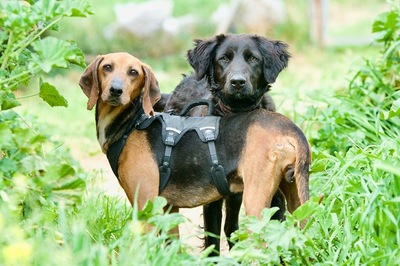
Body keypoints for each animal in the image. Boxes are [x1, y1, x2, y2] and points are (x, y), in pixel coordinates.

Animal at [77, 52, 310, 233]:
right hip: (297, 201)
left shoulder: (145, 205)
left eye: (133, 72)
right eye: (107, 67)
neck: (131, 124)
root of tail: (291, 128)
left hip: (256, 203)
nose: (116, 90)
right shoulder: (168, 209)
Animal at [165, 33, 290, 256]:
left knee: (232, 226)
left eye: (253, 58)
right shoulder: (212, 195)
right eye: (223, 58)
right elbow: (213, 237)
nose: (237, 82)